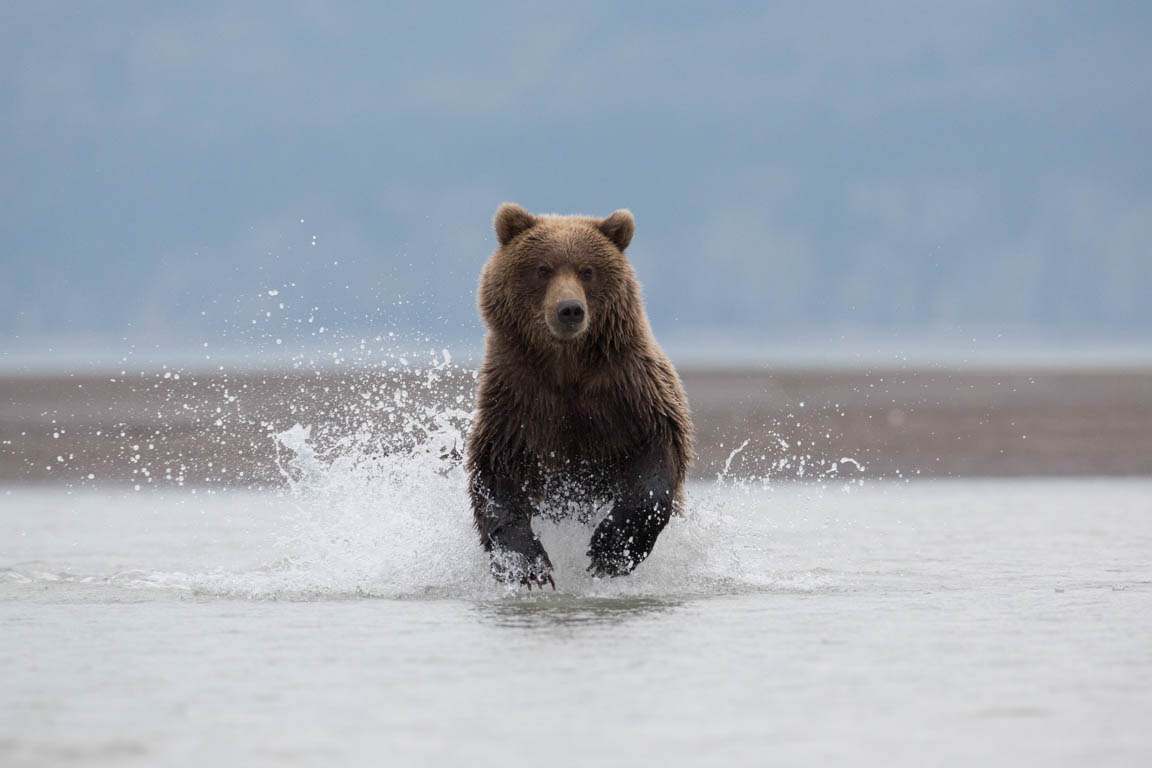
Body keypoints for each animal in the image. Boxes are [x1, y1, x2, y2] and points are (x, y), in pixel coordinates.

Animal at [465, 203, 691, 589]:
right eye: (543, 269)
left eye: (588, 270)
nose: (569, 309)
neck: (567, 367)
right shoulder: (516, 403)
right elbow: (495, 475)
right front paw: (527, 566)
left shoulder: (630, 394)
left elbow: (657, 459)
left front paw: (610, 550)